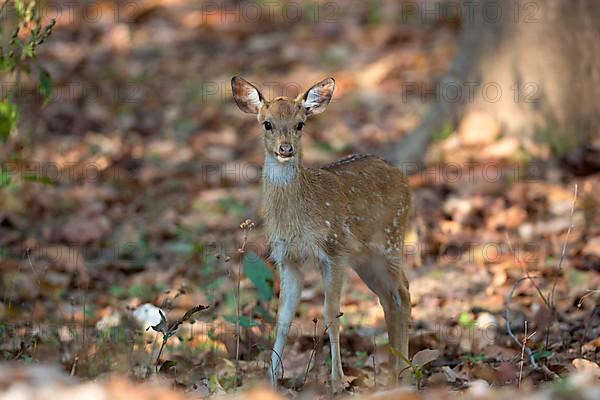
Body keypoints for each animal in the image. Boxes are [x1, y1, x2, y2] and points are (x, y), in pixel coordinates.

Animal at [231, 76, 412, 390]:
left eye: (300, 124)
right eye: (267, 124)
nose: (286, 148)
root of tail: (405, 180)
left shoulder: (334, 251)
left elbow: (331, 314)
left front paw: (338, 381)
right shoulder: (287, 258)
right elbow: (283, 317)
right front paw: (271, 380)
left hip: (391, 240)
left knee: (404, 291)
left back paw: (405, 373)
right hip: (365, 260)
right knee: (390, 298)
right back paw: (394, 375)